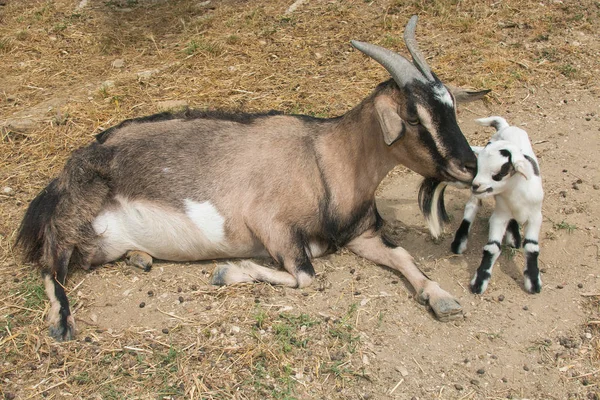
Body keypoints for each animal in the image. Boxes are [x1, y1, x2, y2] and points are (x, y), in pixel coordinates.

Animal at [17, 16, 488, 340]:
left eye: (450, 104)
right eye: (413, 115)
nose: (470, 165)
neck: (325, 159)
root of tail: (66, 170)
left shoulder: (361, 234)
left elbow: (404, 258)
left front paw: (443, 299)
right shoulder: (271, 224)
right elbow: (305, 277)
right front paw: (229, 272)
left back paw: (140, 257)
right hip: (76, 211)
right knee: (52, 263)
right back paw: (61, 322)